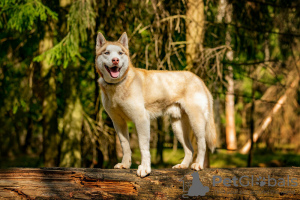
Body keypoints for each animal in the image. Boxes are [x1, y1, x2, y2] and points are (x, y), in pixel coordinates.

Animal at [95, 32, 217, 177]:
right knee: (189, 149)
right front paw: (125, 164)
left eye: (120, 53)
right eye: (107, 52)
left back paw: (198, 164)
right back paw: (183, 165)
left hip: (196, 121)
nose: (115, 60)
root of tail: (199, 79)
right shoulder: (118, 122)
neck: (118, 85)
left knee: (202, 144)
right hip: (178, 126)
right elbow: (125, 145)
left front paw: (145, 168)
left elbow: (143, 146)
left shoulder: (141, 119)